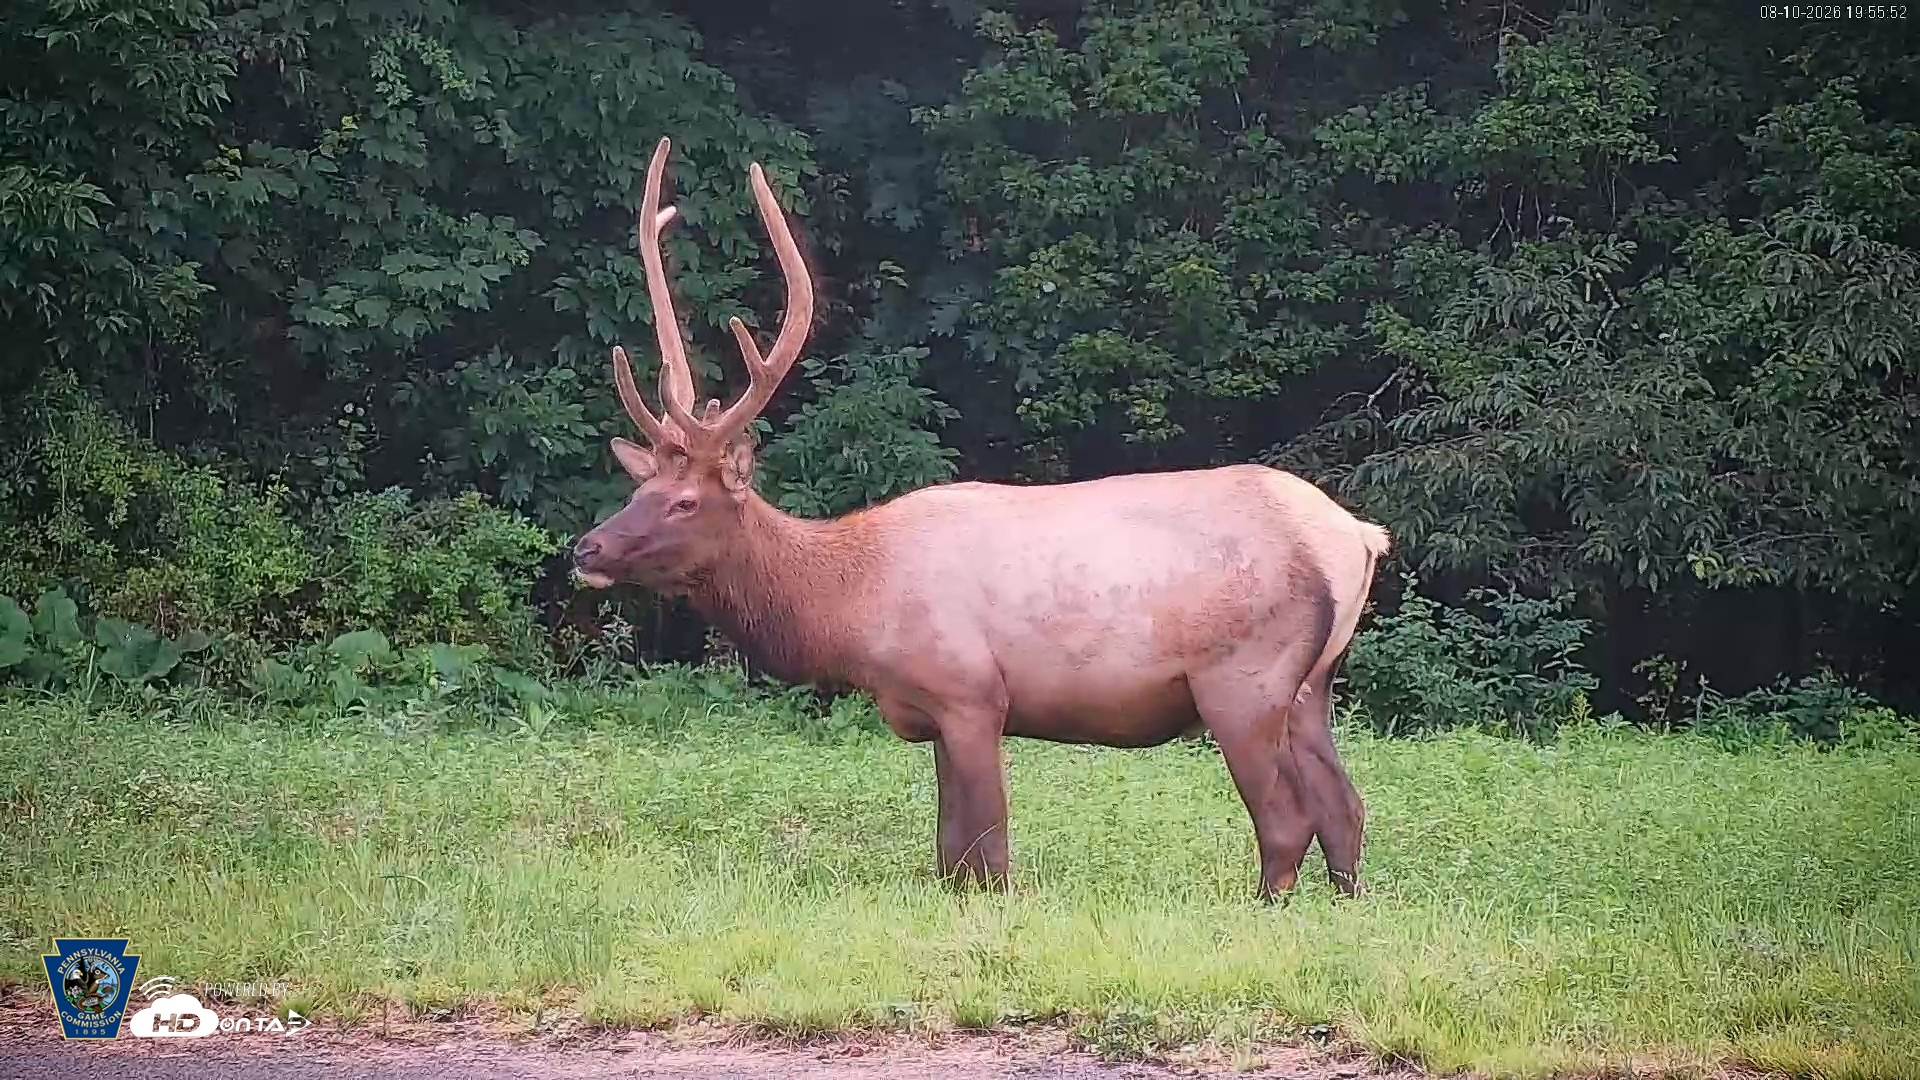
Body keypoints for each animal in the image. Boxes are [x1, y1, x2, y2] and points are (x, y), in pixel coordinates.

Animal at [571, 137, 1392, 900]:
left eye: (684, 501)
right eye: (638, 489)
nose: (587, 548)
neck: (850, 607)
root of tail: (1358, 538)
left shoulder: (970, 692)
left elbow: (988, 856)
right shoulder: (934, 712)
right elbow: (949, 856)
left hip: (1243, 675)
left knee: (1287, 819)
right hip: (1311, 684)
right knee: (1344, 808)